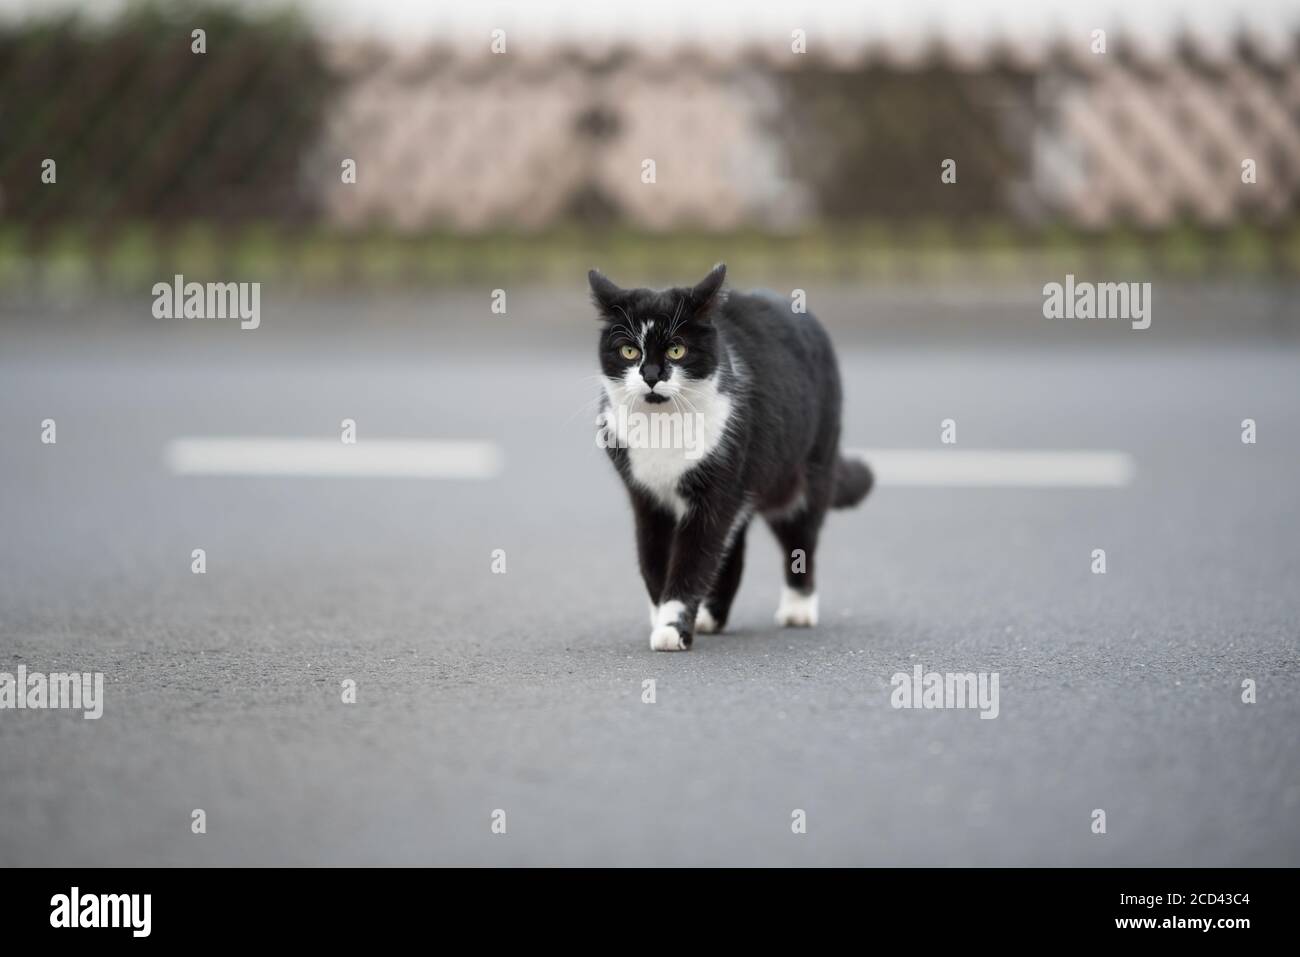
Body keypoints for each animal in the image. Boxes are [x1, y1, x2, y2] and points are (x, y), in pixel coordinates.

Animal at [592, 261, 873, 650]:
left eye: (677, 350)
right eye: (629, 352)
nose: (650, 376)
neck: (662, 425)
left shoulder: (717, 489)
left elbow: (692, 560)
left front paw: (671, 628)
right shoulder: (646, 497)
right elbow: (654, 561)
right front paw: (664, 617)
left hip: (806, 470)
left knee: (800, 539)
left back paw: (798, 609)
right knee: (733, 550)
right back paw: (711, 618)